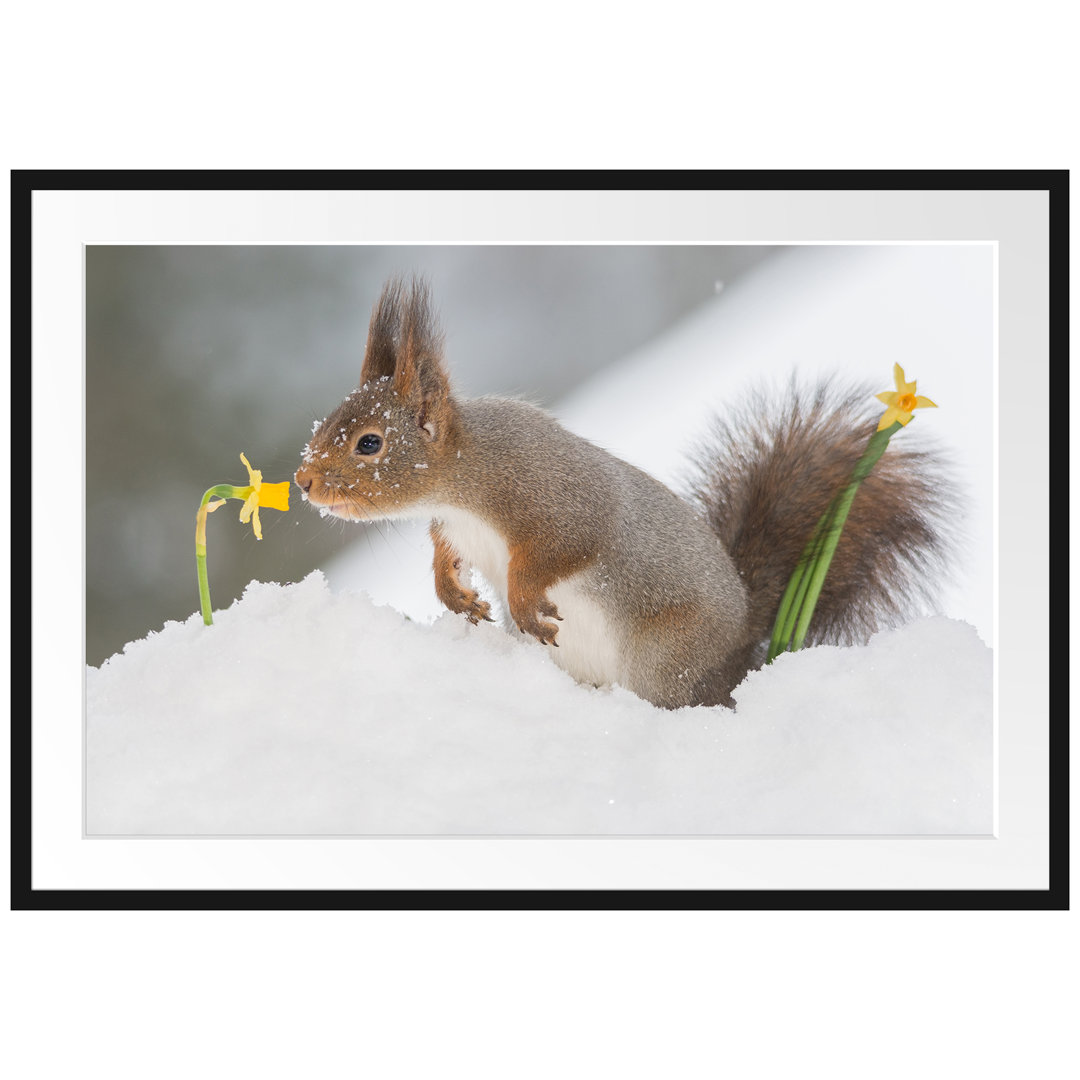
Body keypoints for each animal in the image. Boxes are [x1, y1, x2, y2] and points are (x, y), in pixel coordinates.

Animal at [295, 276, 954, 708]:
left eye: (370, 444)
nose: (303, 482)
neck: (464, 479)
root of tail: (744, 646)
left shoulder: (558, 500)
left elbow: (562, 549)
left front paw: (524, 601)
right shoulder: (455, 528)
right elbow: (444, 555)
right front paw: (456, 596)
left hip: (667, 660)